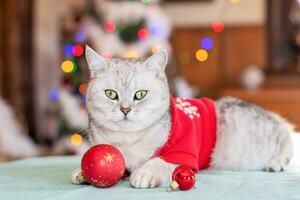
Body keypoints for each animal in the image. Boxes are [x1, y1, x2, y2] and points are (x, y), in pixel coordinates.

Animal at [72, 46, 292, 188]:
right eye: (111, 94)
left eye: (140, 95)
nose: (125, 109)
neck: (128, 140)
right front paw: (81, 173)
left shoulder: (183, 155)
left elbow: (159, 162)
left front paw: (144, 173)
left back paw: (276, 162)